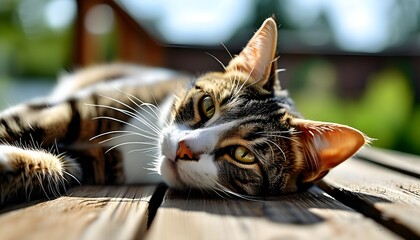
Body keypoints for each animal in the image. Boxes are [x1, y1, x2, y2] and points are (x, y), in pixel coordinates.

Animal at [0, 17, 368, 203]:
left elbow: (61, 167)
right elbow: (26, 121)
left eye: (243, 155)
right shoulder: (89, 105)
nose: (182, 149)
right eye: (206, 105)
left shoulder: (98, 163)